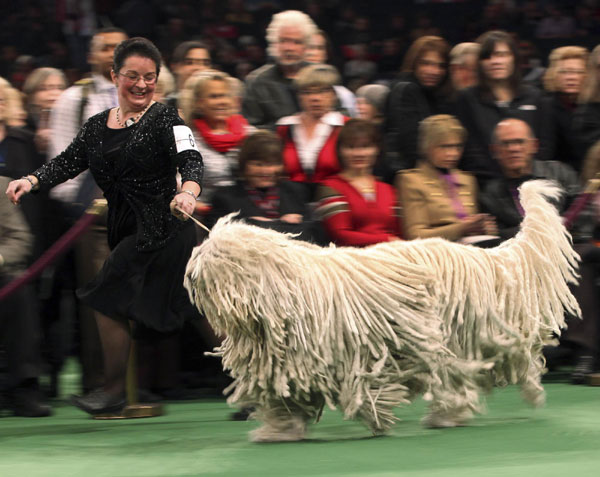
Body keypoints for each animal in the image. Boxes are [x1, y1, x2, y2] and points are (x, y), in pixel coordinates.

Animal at [185, 180, 580, 440]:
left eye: (217, 256)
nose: (190, 273)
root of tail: (480, 258)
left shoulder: (357, 354)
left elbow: (365, 387)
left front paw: (377, 416)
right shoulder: (285, 365)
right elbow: (286, 399)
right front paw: (278, 430)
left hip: (448, 338)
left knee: (460, 377)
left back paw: (449, 414)